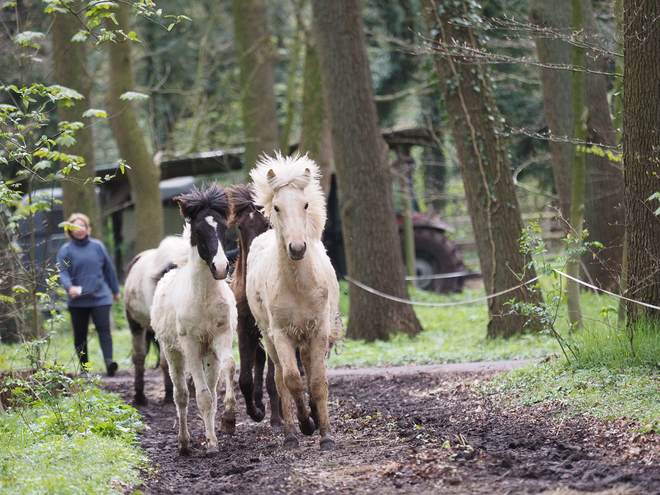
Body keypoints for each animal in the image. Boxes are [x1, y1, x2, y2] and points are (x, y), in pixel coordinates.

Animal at [246, 155, 340, 454]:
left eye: (305, 204)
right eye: (277, 207)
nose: (297, 248)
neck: (299, 286)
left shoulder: (318, 331)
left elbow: (317, 381)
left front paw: (326, 435)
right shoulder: (281, 335)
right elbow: (292, 380)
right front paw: (305, 425)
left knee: (309, 368)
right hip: (270, 339)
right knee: (279, 378)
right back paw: (290, 431)